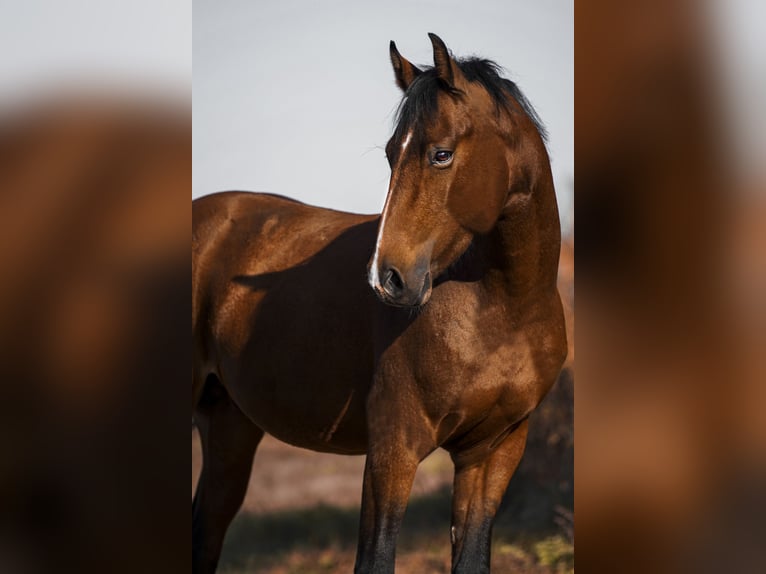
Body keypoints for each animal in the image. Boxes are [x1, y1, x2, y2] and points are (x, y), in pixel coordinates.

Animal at [190, 33, 564, 572]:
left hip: (228, 429)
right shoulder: (394, 449)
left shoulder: (493, 451)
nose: (386, 278)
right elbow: (375, 557)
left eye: (441, 154)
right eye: (391, 154)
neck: (503, 310)